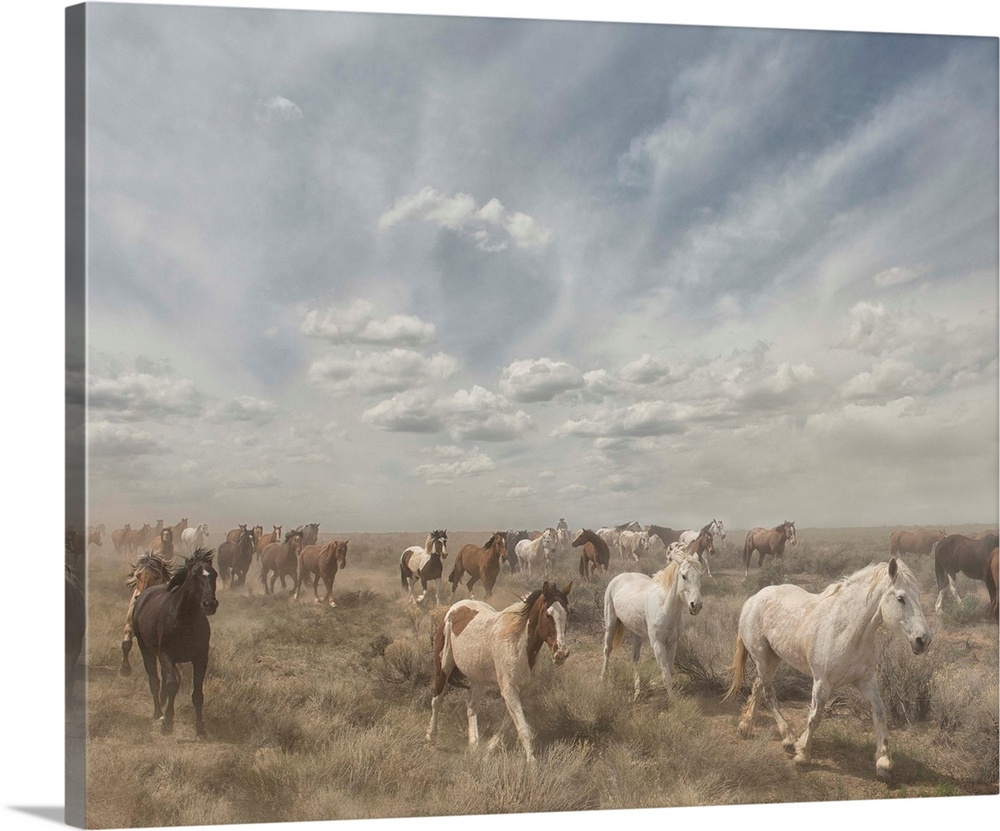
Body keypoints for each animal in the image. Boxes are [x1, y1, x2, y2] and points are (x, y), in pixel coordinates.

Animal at [132, 548, 218, 736]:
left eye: (214, 575)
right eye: (194, 575)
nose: (210, 604)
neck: (184, 620)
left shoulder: (201, 658)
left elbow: (197, 692)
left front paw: (200, 728)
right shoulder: (166, 654)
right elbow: (172, 684)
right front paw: (168, 723)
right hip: (146, 649)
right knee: (155, 680)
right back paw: (158, 713)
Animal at [426, 580, 576, 764]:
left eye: (567, 613)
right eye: (548, 615)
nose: (561, 653)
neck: (518, 643)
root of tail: (454, 607)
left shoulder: (522, 691)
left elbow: (508, 725)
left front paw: (487, 752)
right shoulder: (509, 690)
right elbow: (523, 728)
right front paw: (532, 763)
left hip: (478, 680)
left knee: (471, 707)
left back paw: (473, 745)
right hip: (444, 668)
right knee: (437, 700)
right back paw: (431, 738)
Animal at [600, 552, 704, 704]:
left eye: (700, 575)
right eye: (684, 576)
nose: (696, 605)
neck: (664, 607)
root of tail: (619, 577)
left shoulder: (672, 642)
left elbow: (670, 670)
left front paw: (653, 685)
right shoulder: (657, 644)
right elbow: (665, 673)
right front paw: (673, 701)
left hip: (636, 634)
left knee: (634, 658)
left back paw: (637, 690)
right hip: (611, 625)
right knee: (607, 651)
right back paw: (603, 679)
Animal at [728, 560, 928, 780]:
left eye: (918, 596)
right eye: (901, 598)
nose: (923, 640)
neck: (848, 631)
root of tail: (753, 599)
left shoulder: (866, 681)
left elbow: (880, 712)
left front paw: (883, 762)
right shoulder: (822, 682)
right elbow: (815, 716)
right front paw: (803, 754)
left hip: (772, 659)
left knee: (757, 686)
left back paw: (747, 726)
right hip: (763, 659)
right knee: (768, 693)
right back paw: (788, 737)